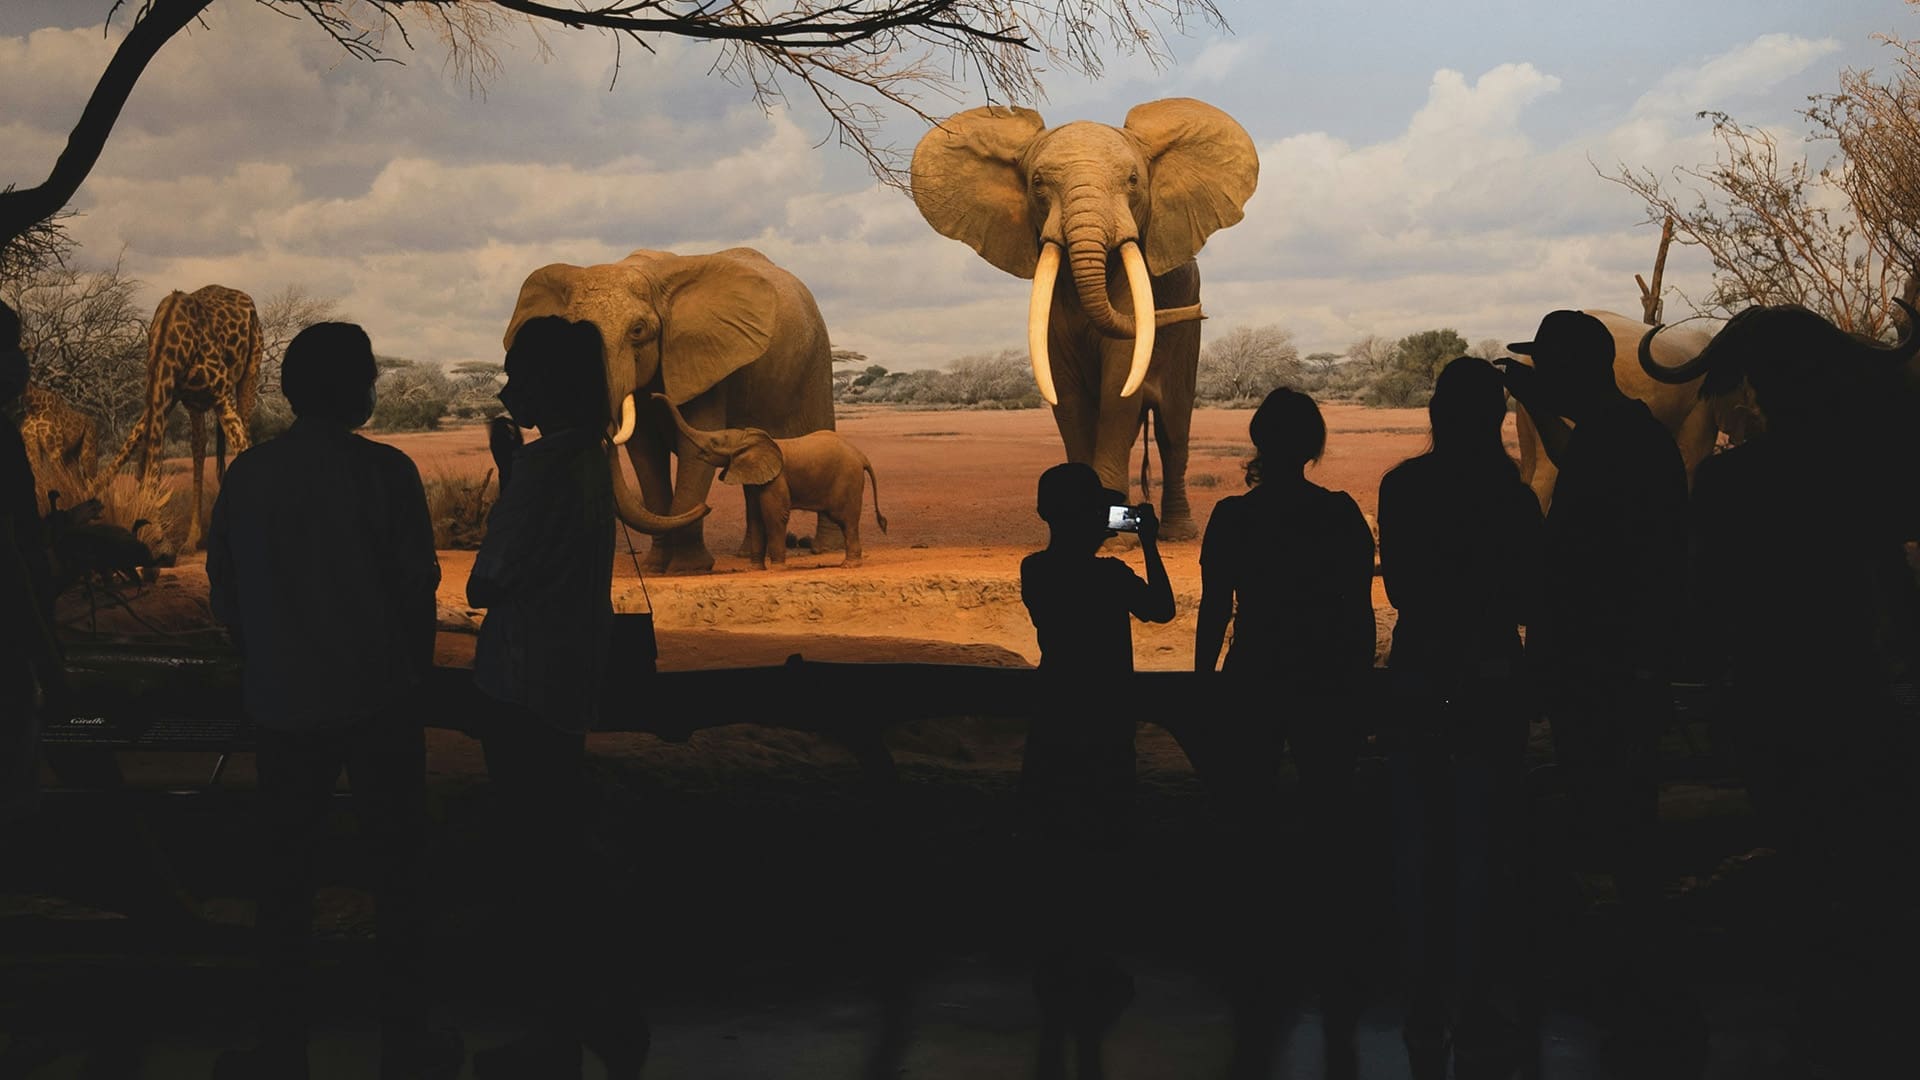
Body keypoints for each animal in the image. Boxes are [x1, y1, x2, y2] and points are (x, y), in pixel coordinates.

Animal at [105, 285, 262, 549]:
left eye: (156, 538)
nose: (165, 556)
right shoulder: (165, 394)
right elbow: (121, 454)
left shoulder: (222, 392)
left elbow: (242, 446)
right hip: (196, 404)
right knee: (199, 447)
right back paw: (192, 539)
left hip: (249, 373)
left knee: (245, 432)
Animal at [504, 247, 838, 573]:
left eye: (638, 330)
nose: (707, 507)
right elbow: (645, 454)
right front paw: (655, 568)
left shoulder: (703, 359)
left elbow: (693, 448)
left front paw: (687, 568)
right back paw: (746, 555)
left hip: (816, 358)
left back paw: (824, 550)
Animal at [658, 394, 886, 569]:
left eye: (714, 441)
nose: (654, 396)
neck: (748, 438)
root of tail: (861, 456)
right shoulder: (753, 479)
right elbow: (755, 516)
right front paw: (754, 569)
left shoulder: (777, 478)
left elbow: (773, 514)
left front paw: (777, 568)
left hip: (848, 479)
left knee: (846, 520)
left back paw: (849, 565)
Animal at [910, 98, 1259, 540]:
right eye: (1037, 182)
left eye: (1133, 180)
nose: (1201, 311)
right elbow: (1067, 395)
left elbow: (1119, 387)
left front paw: (1114, 538)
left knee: (1174, 429)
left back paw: (1178, 533)